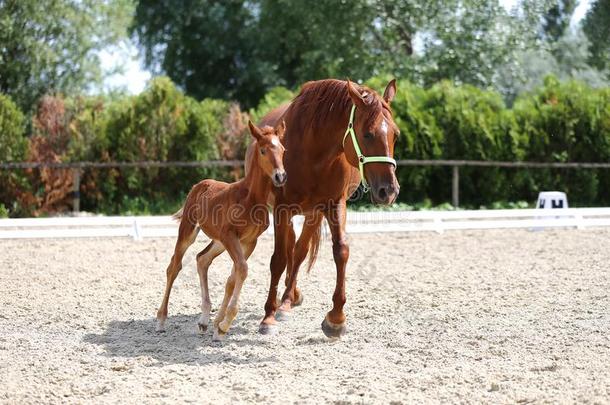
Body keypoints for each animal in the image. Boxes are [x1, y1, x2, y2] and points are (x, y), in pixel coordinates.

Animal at [153, 120, 284, 340]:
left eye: (283, 149)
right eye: (263, 150)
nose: (280, 176)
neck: (250, 198)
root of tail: (199, 184)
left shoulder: (249, 241)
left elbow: (234, 277)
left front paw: (218, 326)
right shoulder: (231, 236)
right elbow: (242, 270)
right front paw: (224, 325)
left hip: (219, 241)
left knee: (202, 259)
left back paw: (204, 320)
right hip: (190, 231)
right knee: (174, 266)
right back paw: (162, 320)